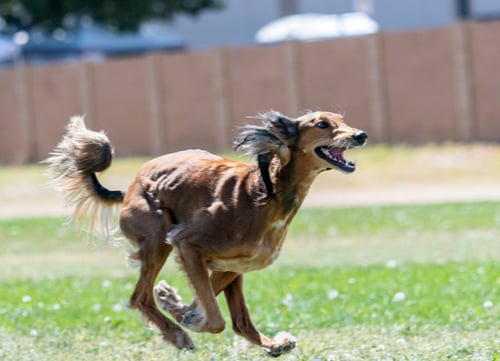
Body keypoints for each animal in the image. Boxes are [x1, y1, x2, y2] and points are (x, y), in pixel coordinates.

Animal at [45, 111, 368, 356]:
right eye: (322, 124)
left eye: (342, 119)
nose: (360, 135)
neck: (266, 192)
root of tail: (129, 189)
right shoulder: (187, 243)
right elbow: (214, 318)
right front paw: (185, 321)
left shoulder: (235, 264)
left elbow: (219, 311)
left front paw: (178, 306)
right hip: (157, 235)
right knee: (140, 298)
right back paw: (177, 334)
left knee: (236, 320)